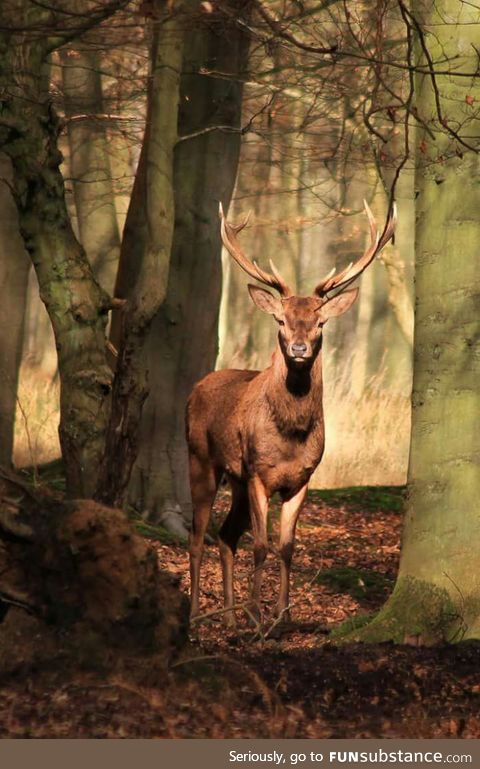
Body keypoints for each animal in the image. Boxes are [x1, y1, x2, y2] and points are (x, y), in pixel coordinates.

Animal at [186, 201, 396, 628]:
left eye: (319, 321)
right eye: (281, 320)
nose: (299, 348)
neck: (291, 434)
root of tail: (196, 387)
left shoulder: (303, 478)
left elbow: (286, 546)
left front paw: (282, 615)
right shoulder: (258, 473)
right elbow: (261, 545)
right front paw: (256, 616)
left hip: (234, 479)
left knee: (225, 536)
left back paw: (228, 617)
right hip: (201, 459)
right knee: (198, 537)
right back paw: (198, 615)